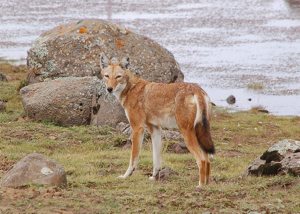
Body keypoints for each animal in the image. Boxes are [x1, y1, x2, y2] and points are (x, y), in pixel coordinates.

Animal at [99, 54, 214, 188]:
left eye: (118, 76)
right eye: (107, 76)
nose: (109, 89)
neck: (130, 89)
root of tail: (196, 89)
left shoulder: (137, 128)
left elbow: (133, 158)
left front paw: (126, 176)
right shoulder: (155, 130)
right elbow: (156, 159)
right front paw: (154, 177)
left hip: (186, 133)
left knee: (202, 159)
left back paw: (200, 186)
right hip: (199, 133)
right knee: (208, 159)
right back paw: (207, 184)